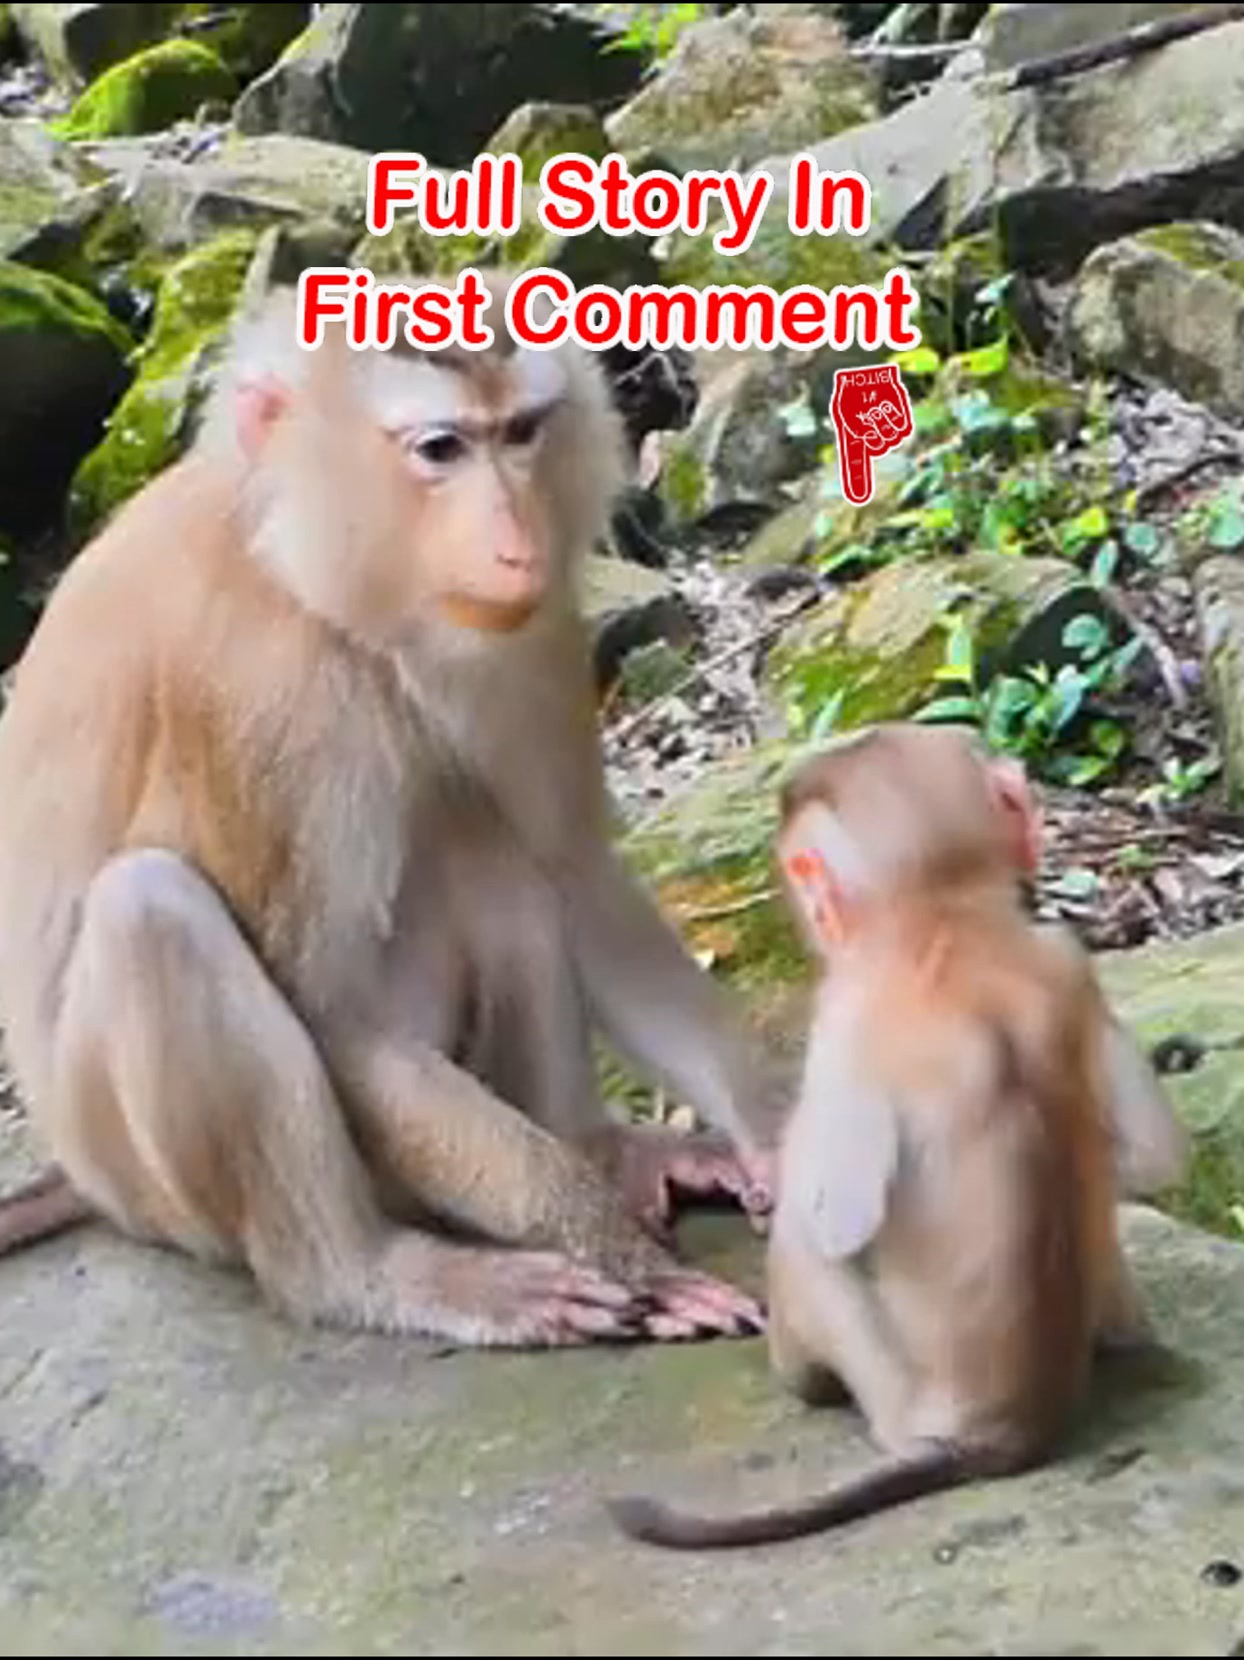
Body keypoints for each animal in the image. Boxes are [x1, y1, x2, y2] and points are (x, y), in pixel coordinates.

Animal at [0, 267, 782, 1349]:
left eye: (521, 431)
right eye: (440, 448)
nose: (516, 540)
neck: (317, 584)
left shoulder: (530, 635)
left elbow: (572, 866)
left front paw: (778, 1131)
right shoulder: (260, 692)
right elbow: (333, 1014)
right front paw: (625, 1258)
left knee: (494, 862)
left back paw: (594, 1147)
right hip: (157, 1188)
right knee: (151, 908)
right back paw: (370, 1273)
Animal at [607, 722, 1188, 1545]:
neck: (939, 917)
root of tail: (996, 1435)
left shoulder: (843, 1012)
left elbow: (831, 1221)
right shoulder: (1064, 954)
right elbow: (1154, 1155)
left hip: (884, 1385)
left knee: (808, 1259)